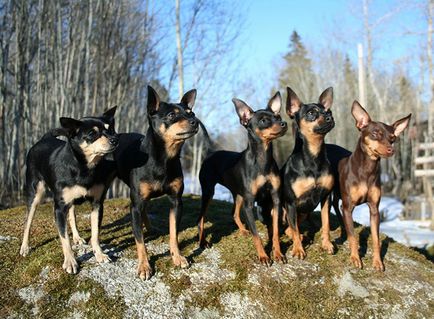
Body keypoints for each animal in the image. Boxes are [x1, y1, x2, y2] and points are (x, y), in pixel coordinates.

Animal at [19, 106, 118, 274]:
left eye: (110, 129)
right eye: (92, 134)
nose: (115, 139)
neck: (84, 167)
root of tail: (44, 139)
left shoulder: (97, 204)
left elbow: (95, 234)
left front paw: (99, 254)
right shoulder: (59, 208)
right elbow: (64, 238)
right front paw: (71, 262)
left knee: (72, 215)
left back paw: (77, 237)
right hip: (35, 194)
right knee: (28, 221)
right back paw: (25, 247)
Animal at [113, 86, 198, 282]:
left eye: (191, 112)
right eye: (171, 115)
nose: (195, 122)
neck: (163, 158)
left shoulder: (176, 201)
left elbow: (174, 233)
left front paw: (177, 257)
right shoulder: (135, 205)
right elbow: (139, 241)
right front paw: (144, 266)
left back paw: (150, 228)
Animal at [198, 93, 288, 268]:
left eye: (278, 116)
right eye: (264, 120)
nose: (284, 123)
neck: (262, 160)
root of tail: (211, 152)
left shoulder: (275, 199)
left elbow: (274, 231)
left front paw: (278, 254)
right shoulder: (249, 203)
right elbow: (257, 236)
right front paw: (263, 256)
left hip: (239, 194)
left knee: (233, 213)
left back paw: (243, 230)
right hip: (209, 192)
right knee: (201, 218)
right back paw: (202, 242)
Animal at [282, 87, 336, 260]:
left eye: (328, 111)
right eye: (311, 113)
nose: (330, 117)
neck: (314, 157)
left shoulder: (326, 197)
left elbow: (326, 223)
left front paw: (327, 244)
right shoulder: (291, 203)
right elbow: (294, 228)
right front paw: (298, 250)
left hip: (304, 213)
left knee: (290, 228)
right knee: (287, 228)